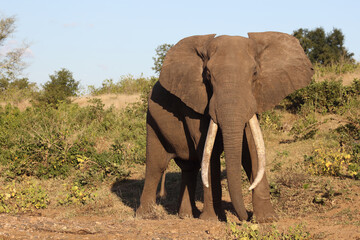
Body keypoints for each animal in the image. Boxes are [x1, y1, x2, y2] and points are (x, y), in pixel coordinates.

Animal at [136, 31, 314, 223]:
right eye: (207, 74)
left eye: (255, 72)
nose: (246, 216)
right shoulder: (194, 104)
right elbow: (208, 151)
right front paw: (212, 219)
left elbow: (251, 149)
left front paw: (267, 219)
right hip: (152, 121)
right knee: (156, 165)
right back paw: (146, 215)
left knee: (189, 167)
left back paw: (187, 215)